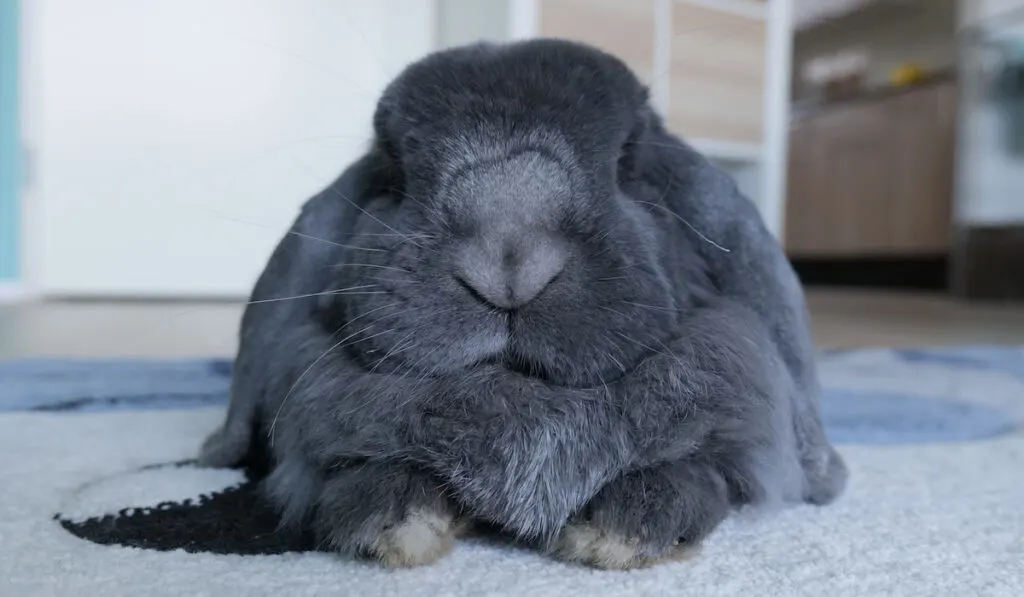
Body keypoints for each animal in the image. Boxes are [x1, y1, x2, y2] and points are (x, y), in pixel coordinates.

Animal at [199, 37, 847, 569]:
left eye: (628, 161)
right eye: (392, 170)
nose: (508, 259)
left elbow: (693, 473)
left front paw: (619, 531)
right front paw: (394, 519)